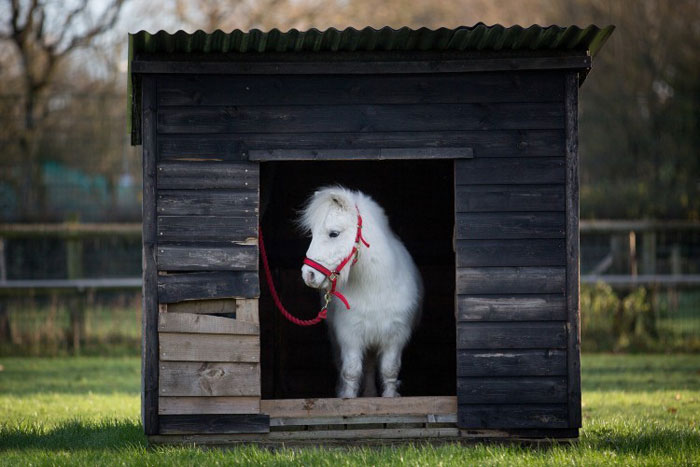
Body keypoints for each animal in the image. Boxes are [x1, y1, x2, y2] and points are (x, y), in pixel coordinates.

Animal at [299, 186, 423, 398]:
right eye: (312, 233)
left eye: (334, 233)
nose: (308, 275)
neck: (375, 288)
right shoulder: (350, 335)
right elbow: (351, 371)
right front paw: (347, 397)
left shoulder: (395, 336)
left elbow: (389, 370)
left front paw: (390, 397)